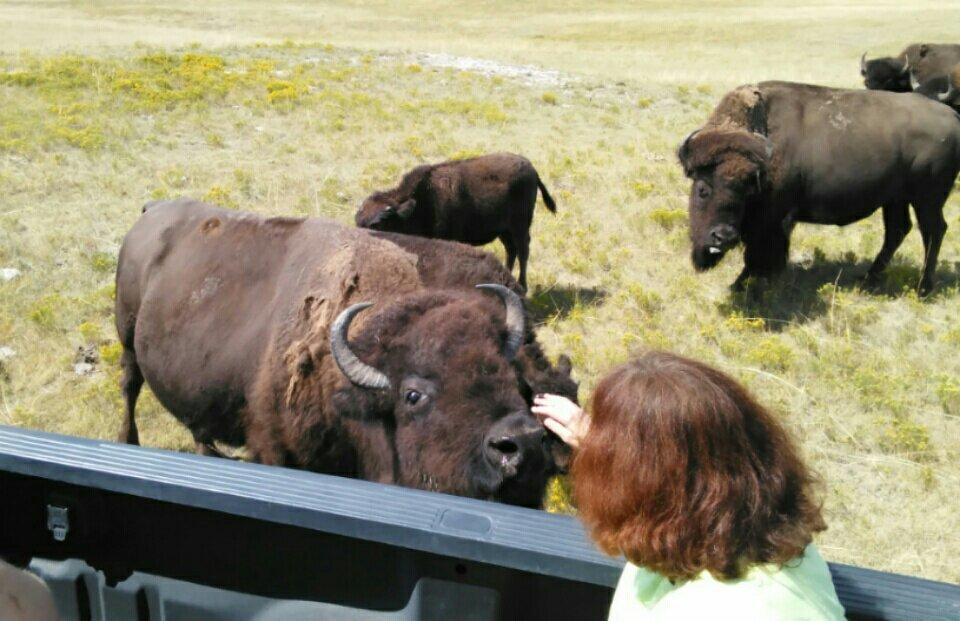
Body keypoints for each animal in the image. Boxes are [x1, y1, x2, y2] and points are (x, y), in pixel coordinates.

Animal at [115, 198, 576, 507]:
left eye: (513, 379)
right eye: (412, 395)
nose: (522, 443)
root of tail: (152, 210)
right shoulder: (273, 448)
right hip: (126, 334)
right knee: (130, 385)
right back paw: (127, 442)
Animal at [355, 153, 557, 291]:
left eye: (379, 224)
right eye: (358, 222)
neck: (420, 202)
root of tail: (532, 169)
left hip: (520, 226)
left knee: (523, 251)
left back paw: (522, 287)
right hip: (504, 230)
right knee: (511, 250)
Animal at [678, 82, 960, 295]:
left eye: (746, 190)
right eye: (702, 189)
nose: (723, 237)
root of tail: (952, 115)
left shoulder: (773, 220)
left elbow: (758, 254)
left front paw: (741, 284)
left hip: (927, 199)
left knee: (933, 231)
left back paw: (923, 288)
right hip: (895, 200)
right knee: (898, 231)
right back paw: (868, 279)